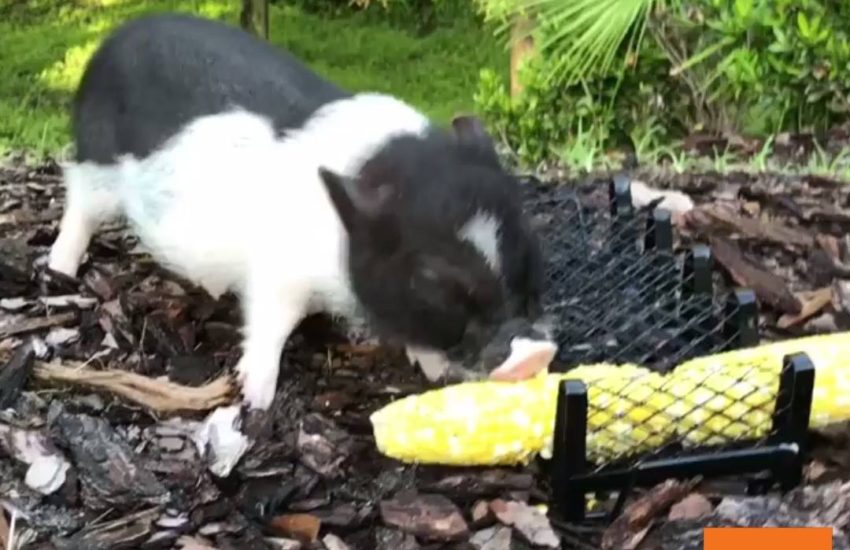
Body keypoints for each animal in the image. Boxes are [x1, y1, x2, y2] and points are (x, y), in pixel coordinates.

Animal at [47, 13, 556, 412]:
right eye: (432, 279)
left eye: (530, 252)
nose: (533, 353)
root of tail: (111, 40)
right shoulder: (278, 272)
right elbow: (270, 321)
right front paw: (255, 399)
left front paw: (432, 370)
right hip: (97, 161)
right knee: (78, 207)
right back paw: (61, 271)